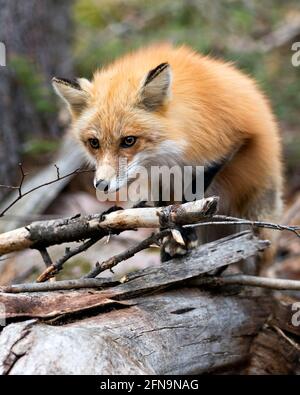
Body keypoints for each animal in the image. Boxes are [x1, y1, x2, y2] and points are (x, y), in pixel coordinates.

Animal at [52, 42, 284, 266]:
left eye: (129, 141)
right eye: (94, 143)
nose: (101, 185)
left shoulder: (228, 142)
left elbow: (190, 199)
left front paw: (182, 234)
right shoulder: (158, 179)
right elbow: (163, 209)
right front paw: (170, 239)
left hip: (255, 228)